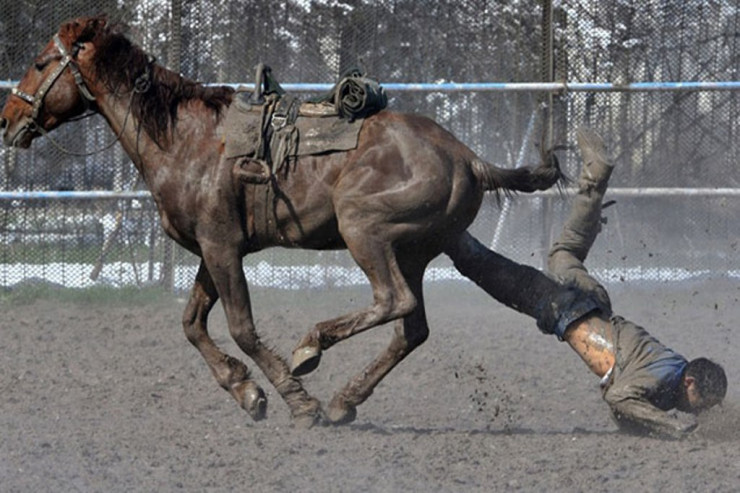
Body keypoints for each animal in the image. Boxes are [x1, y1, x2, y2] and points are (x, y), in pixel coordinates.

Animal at [1, 13, 560, 424]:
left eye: (39, 62)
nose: (8, 119)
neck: (187, 139)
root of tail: (466, 157)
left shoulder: (223, 247)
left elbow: (242, 327)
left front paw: (295, 400)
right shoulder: (212, 250)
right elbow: (191, 324)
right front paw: (245, 391)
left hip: (365, 230)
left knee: (392, 301)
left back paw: (312, 350)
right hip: (417, 251)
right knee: (412, 328)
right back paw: (345, 400)